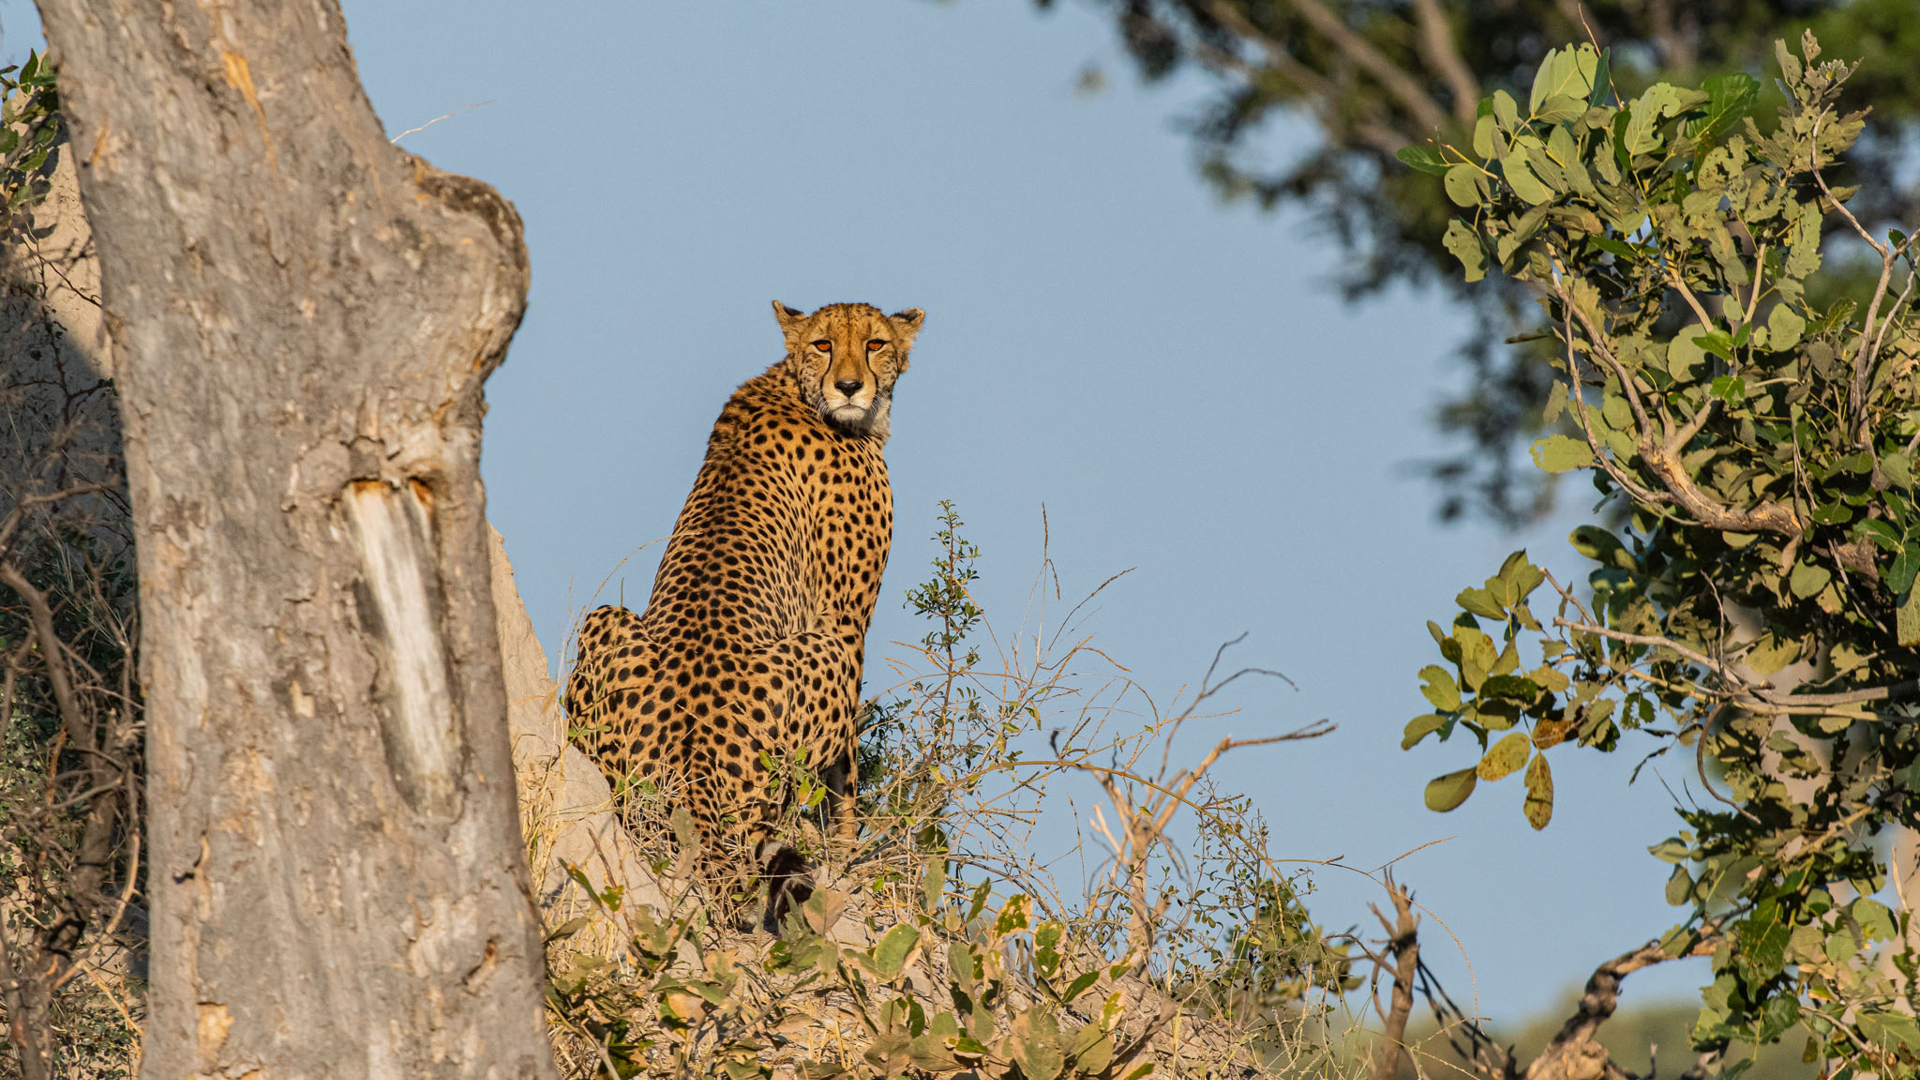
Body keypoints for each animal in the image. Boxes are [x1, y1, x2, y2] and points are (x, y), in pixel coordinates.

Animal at [563, 300, 925, 928]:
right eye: (825, 344)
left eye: (875, 343)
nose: (849, 386)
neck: (797, 387)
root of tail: (691, 765)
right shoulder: (844, 621)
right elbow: (849, 771)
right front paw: (847, 850)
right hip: (824, 654)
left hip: (605, 622)